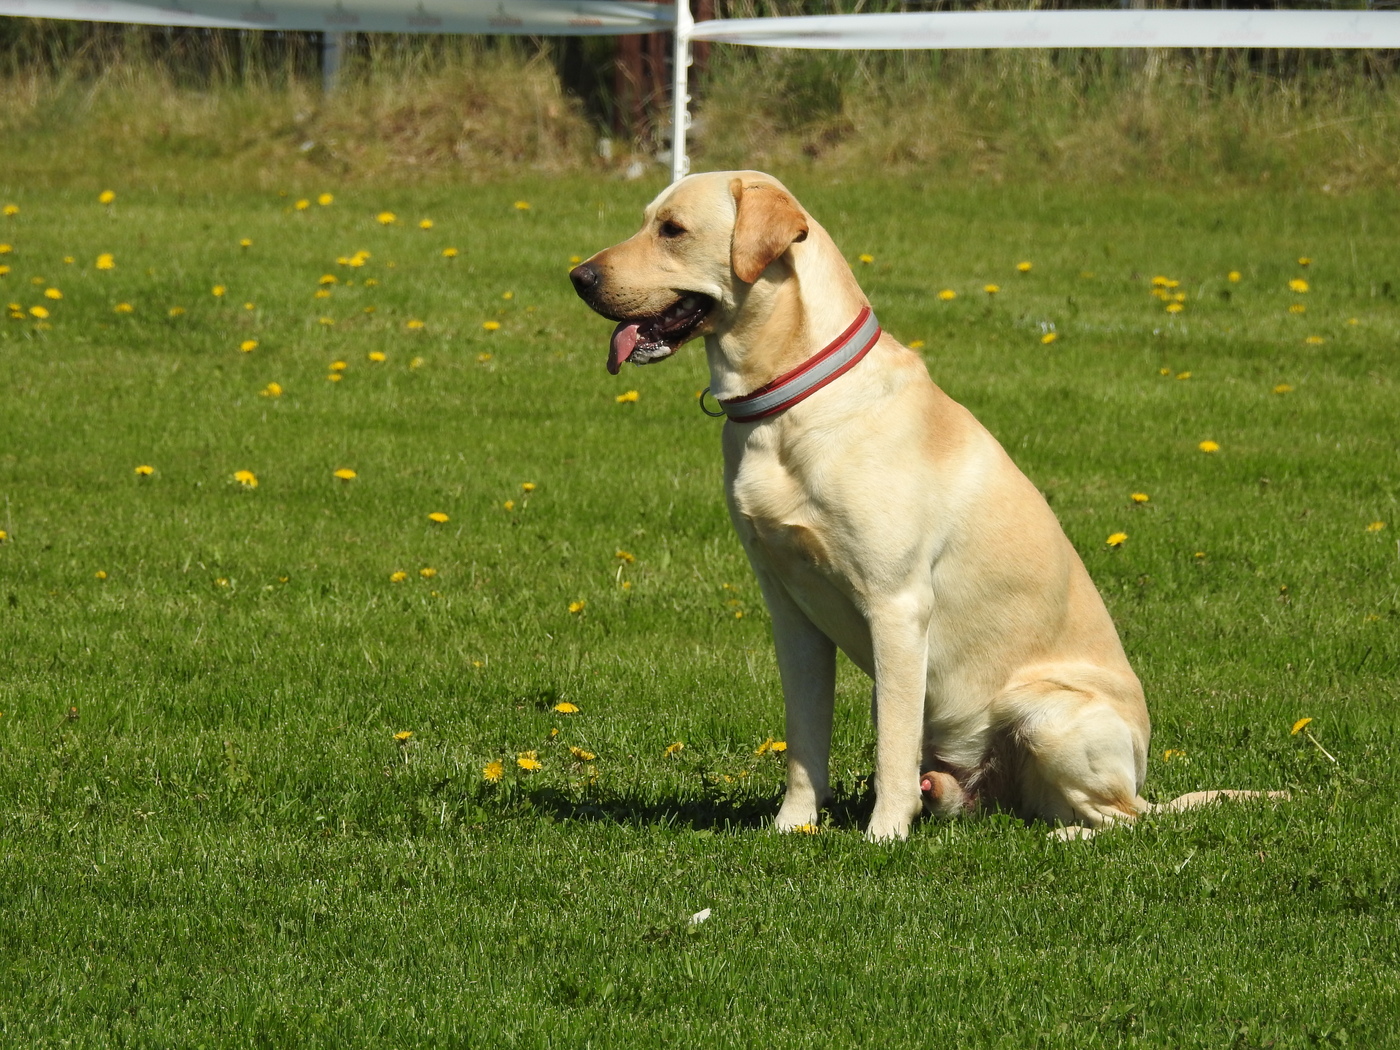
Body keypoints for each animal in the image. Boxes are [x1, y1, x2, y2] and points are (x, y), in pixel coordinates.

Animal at [570, 170, 1282, 841]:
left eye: (673, 229)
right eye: (646, 220)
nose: (578, 277)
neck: (791, 398)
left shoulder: (896, 606)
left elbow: (890, 746)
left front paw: (883, 835)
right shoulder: (791, 612)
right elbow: (804, 743)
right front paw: (792, 826)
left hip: (1048, 713)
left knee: (1122, 819)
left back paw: (1063, 836)